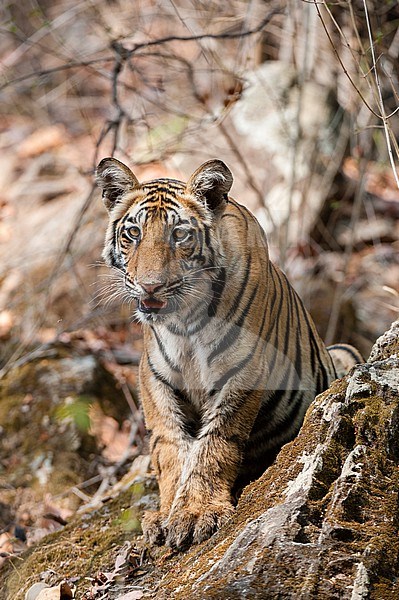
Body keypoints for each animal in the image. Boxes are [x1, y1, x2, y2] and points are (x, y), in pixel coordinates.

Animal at [95, 157, 364, 552]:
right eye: (133, 233)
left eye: (179, 235)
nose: (150, 287)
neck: (184, 321)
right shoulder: (154, 377)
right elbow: (169, 447)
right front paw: (165, 513)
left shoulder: (242, 371)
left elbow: (215, 444)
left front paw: (196, 513)